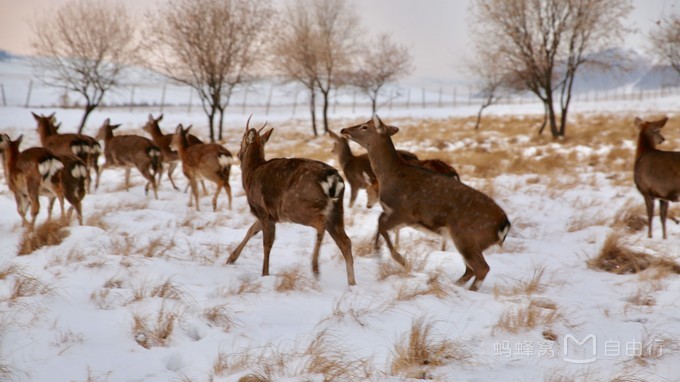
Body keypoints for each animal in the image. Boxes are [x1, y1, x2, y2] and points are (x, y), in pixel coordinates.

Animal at [227, 118, 358, 286]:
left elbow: (267, 243)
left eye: (241, 141)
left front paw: (265, 274)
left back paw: (315, 267)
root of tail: (333, 179)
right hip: (337, 209)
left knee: (320, 224)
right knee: (346, 242)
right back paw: (351, 283)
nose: (237, 154)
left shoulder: (262, 210)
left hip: (295, 206)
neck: (251, 174)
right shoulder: (271, 215)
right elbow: (251, 230)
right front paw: (231, 259)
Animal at [340, 115, 510, 290]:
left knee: (482, 268)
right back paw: (453, 285)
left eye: (364, 127)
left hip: (467, 236)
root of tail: (504, 224)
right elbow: (380, 222)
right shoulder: (397, 215)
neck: (390, 176)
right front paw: (379, 251)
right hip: (470, 241)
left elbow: (382, 226)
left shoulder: (404, 212)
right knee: (471, 269)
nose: (343, 129)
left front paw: (401, 260)